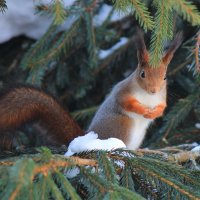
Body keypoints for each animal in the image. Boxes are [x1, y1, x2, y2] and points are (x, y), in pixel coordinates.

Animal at [0, 32, 182, 149]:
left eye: (164, 77)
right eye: (142, 74)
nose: (153, 90)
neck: (147, 97)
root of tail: (88, 136)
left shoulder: (161, 98)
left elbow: (162, 109)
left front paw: (153, 113)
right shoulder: (123, 91)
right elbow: (126, 103)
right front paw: (142, 110)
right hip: (123, 124)